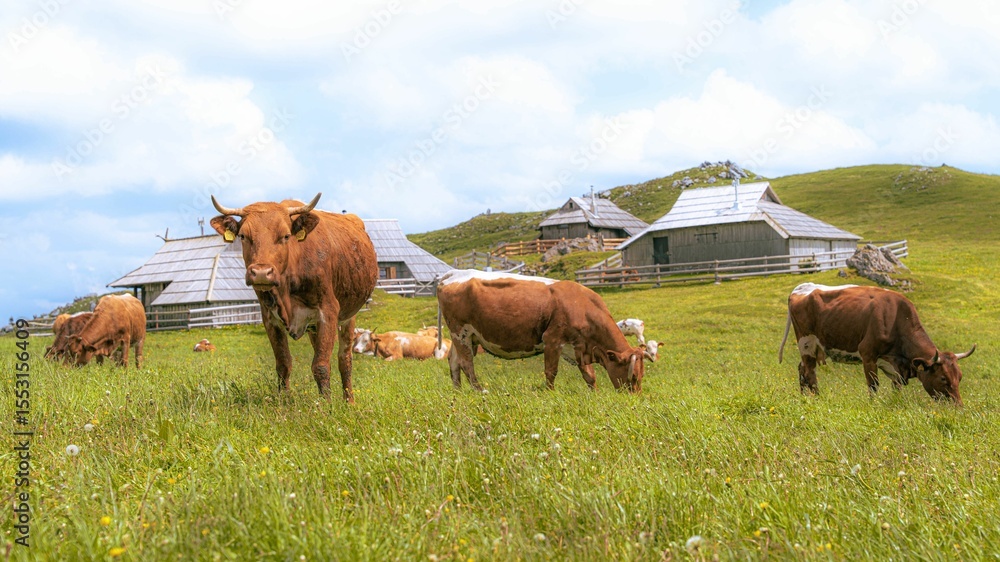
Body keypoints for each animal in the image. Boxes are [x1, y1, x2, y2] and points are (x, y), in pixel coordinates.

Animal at [211, 193, 378, 402]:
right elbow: (284, 364)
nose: (261, 273)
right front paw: (285, 401)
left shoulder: (328, 312)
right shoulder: (270, 318)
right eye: (243, 236)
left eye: (285, 235)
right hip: (315, 327)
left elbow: (321, 366)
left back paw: (349, 402)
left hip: (349, 316)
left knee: (344, 359)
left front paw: (327, 405)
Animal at [436, 270, 646, 392]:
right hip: (460, 332)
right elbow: (551, 371)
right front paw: (550, 393)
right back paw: (479, 390)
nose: (633, 398)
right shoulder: (552, 339)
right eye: (634, 377)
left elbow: (589, 375)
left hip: (465, 336)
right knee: (466, 363)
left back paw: (458, 392)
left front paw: (593, 394)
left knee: (454, 361)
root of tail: (455, 273)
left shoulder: (579, 346)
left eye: (641, 376)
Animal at [778, 283, 976, 405]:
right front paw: (873, 405)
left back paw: (805, 398)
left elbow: (896, 389)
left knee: (802, 370)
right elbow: (873, 386)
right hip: (806, 342)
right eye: (943, 378)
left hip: (813, 347)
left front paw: (895, 403)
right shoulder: (868, 355)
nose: (958, 407)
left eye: (960, 377)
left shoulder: (895, 368)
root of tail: (803, 287)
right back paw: (817, 399)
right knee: (809, 373)